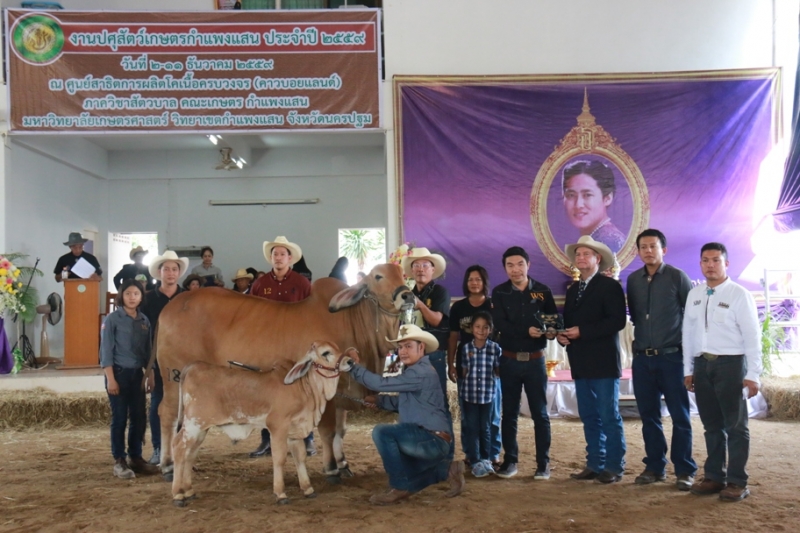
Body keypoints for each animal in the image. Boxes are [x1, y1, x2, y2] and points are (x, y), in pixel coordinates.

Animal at [150, 263, 413, 483]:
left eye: (402, 274)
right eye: (378, 276)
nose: (407, 295)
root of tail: (170, 306)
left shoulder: (341, 394)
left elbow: (341, 431)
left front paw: (343, 463)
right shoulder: (326, 394)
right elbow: (328, 432)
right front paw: (331, 468)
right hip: (173, 378)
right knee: (167, 414)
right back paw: (168, 465)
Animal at [171, 341, 357, 507]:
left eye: (338, 348)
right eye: (326, 353)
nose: (350, 361)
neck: (305, 388)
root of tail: (194, 366)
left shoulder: (295, 431)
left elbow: (300, 457)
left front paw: (307, 489)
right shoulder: (278, 427)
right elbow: (280, 458)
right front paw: (280, 494)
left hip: (201, 428)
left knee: (191, 453)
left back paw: (189, 490)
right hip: (193, 425)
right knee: (179, 447)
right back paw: (178, 495)